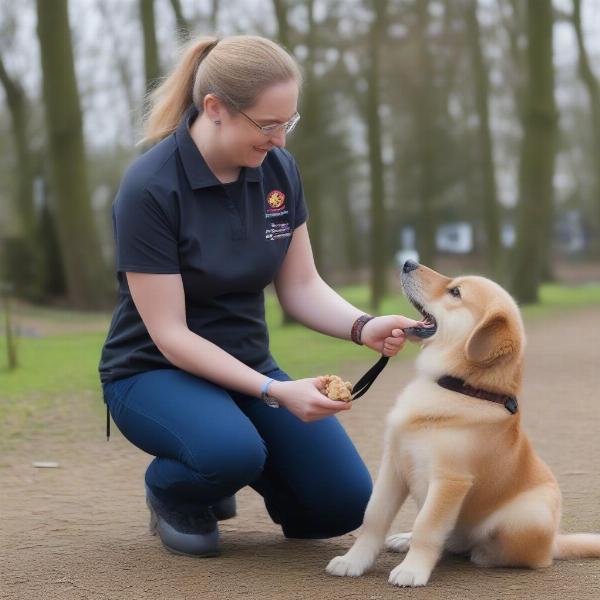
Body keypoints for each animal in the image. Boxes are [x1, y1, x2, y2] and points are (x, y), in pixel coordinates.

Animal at [328, 258, 600, 584]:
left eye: (455, 292)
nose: (408, 262)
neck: (459, 386)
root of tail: (554, 541)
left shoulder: (450, 480)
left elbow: (427, 527)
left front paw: (412, 570)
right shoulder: (393, 465)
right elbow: (374, 517)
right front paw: (353, 561)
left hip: (530, 514)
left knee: (532, 558)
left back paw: (485, 554)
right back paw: (405, 539)